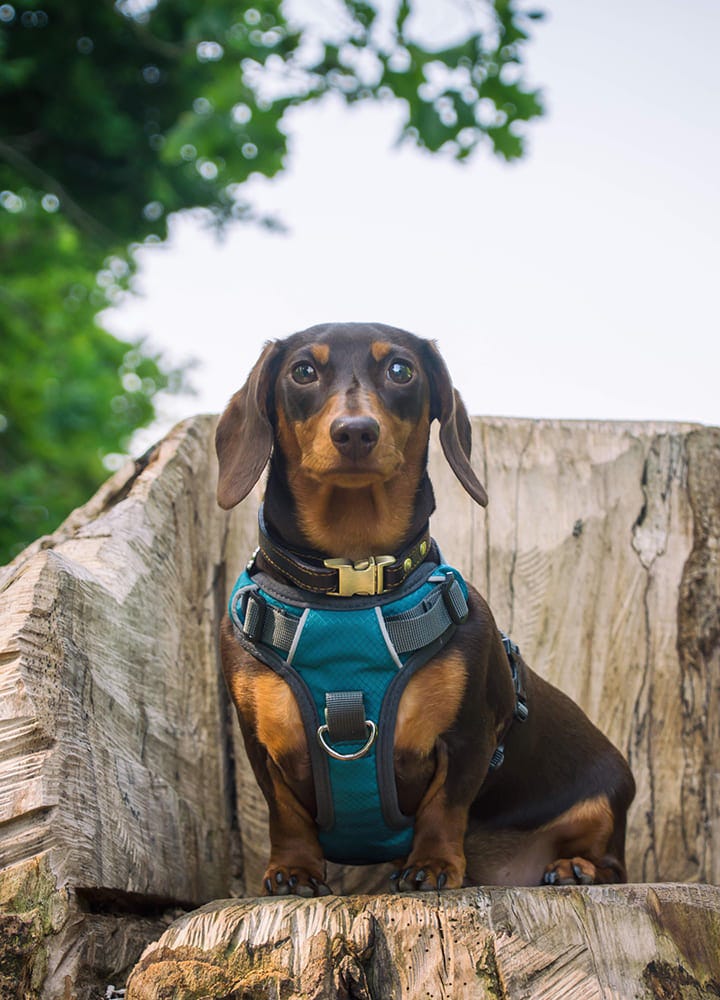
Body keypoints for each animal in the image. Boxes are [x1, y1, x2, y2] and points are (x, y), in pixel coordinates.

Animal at [215, 322, 636, 900]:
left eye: (401, 370)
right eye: (302, 371)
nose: (355, 432)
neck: (352, 585)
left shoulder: (470, 735)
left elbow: (445, 805)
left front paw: (432, 864)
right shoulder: (261, 745)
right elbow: (286, 814)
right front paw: (293, 870)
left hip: (603, 803)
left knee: (612, 863)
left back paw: (578, 868)